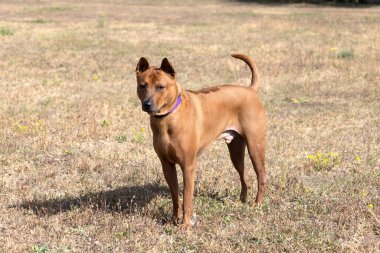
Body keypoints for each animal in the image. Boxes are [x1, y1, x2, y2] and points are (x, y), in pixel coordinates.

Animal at [135, 54, 266, 228]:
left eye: (161, 87)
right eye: (142, 85)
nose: (147, 104)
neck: (168, 117)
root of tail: (250, 90)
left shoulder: (188, 166)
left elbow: (187, 199)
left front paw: (185, 224)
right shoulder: (166, 165)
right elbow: (175, 196)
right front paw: (174, 218)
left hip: (255, 146)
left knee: (261, 176)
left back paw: (257, 204)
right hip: (236, 150)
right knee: (244, 175)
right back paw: (242, 201)